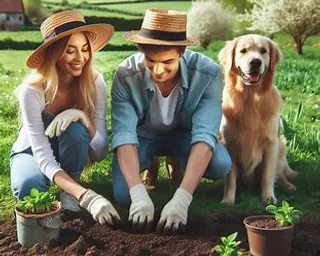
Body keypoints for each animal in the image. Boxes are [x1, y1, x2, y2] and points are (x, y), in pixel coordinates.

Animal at [219, 35, 296, 205]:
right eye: (243, 51)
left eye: (263, 51)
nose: (255, 62)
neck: (251, 98)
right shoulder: (229, 143)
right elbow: (230, 178)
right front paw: (228, 199)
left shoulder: (270, 143)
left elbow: (267, 175)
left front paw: (268, 197)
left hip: (281, 144)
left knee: (280, 173)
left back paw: (288, 186)